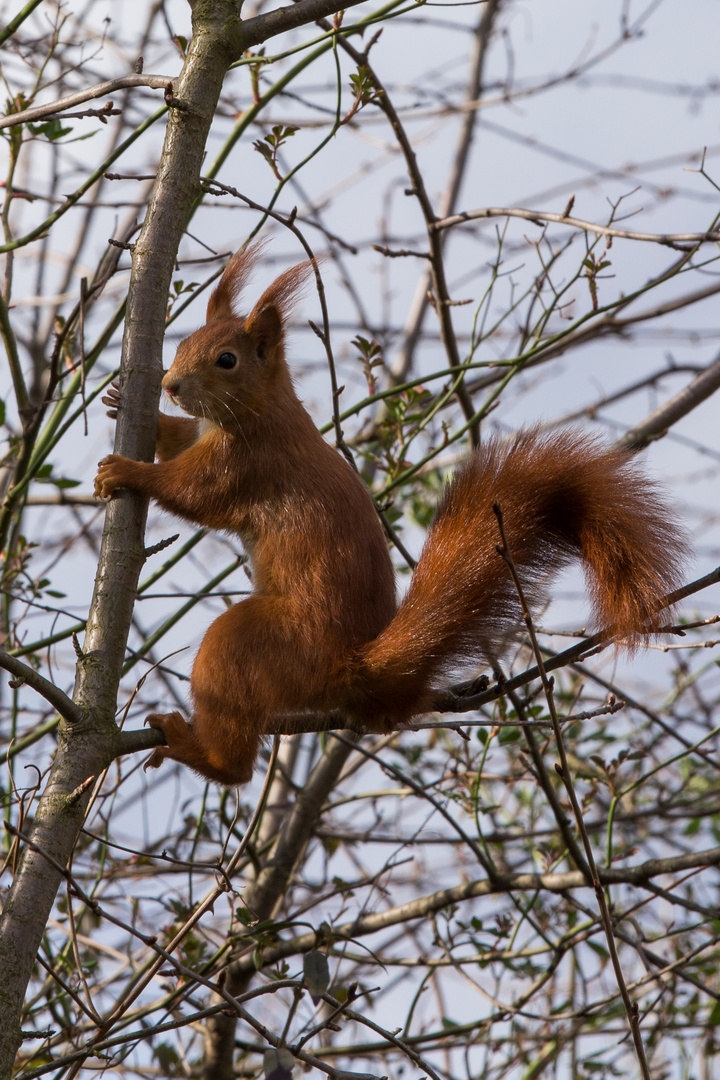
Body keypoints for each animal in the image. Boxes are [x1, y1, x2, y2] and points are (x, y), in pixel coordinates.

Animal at [94, 245, 686, 786]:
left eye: (226, 360)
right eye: (180, 343)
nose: (169, 386)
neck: (263, 408)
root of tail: (351, 669)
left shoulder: (249, 462)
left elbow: (195, 493)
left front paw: (129, 471)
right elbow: (179, 440)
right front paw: (137, 412)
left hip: (260, 644)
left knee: (236, 757)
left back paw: (192, 747)